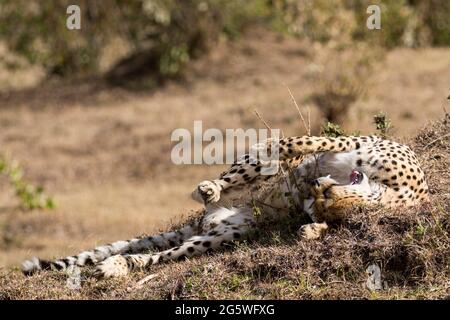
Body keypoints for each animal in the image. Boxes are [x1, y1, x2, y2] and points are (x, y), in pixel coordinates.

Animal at [22, 134, 428, 278]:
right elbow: (293, 145)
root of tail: (208, 219)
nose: (313, 188)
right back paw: (210, 188)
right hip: (235, 195)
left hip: (224, 234)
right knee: (240, 172)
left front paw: (312, 230)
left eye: (321, 200)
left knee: (163, 255)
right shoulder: (341, 143)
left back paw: (120, 264)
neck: (390, 192)